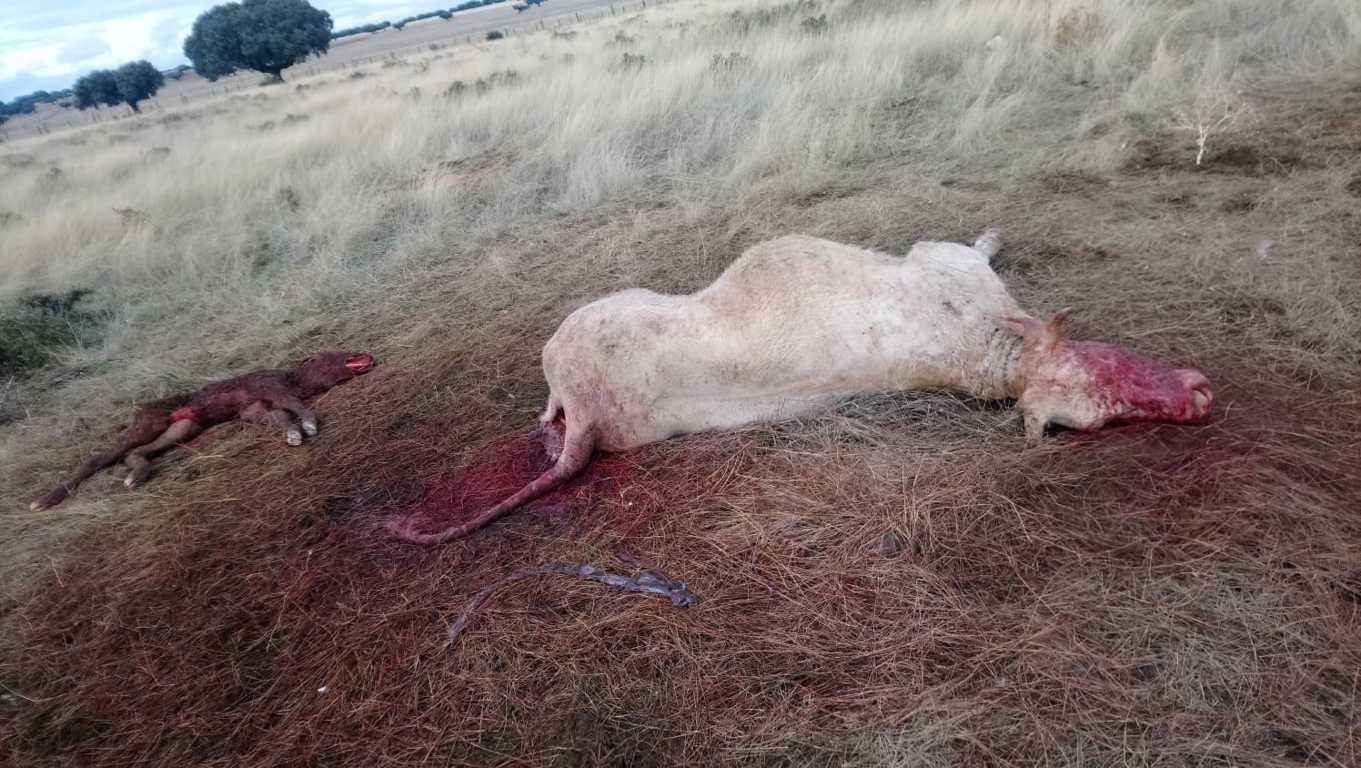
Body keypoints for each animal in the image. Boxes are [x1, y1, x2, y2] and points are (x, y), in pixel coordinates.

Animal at [389, 231, 1208, 541]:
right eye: (1100, 376)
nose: (1200, 396)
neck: (986, 342)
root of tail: (587, 417)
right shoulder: (942, 258)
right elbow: (974, 244)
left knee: (549, 414)